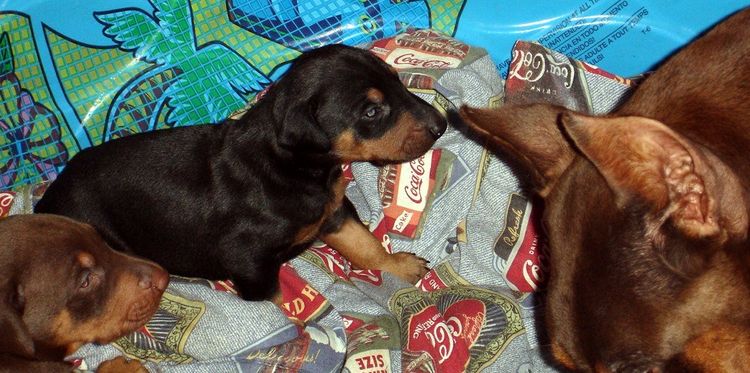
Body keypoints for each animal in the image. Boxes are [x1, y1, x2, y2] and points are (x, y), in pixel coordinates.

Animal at [35, 44, 446, 300]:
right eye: (371, 112)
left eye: (397, 78)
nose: (442, 124)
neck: (293, 166)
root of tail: (43, 202)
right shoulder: (249, 262)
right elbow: (280, 303)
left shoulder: (334, 212)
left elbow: (366, 245)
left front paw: (400, 266)